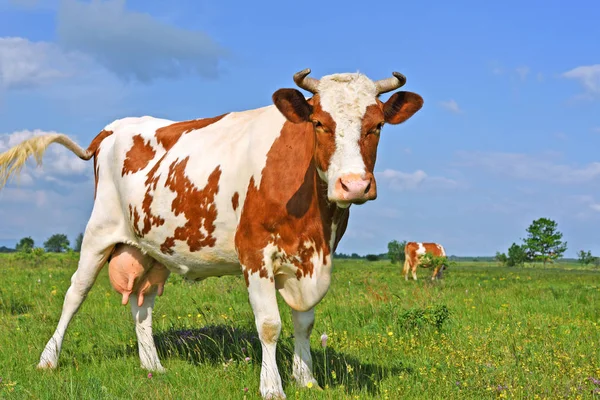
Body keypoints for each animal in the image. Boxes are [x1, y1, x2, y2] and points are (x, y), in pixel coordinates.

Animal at [0, 67, 424, 398]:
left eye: (377, 126)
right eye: (320, 123)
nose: (353, 185)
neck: (313, 222)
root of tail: (115, 127)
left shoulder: (316, 256)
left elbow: (304, 322)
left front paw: (307, 380)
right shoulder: (255, 252)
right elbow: (270, 324)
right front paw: (272, 387)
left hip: (153, 247)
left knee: (142, 303)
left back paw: (152, 366)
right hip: (99, 231)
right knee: (75, 293)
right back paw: (48, 360)